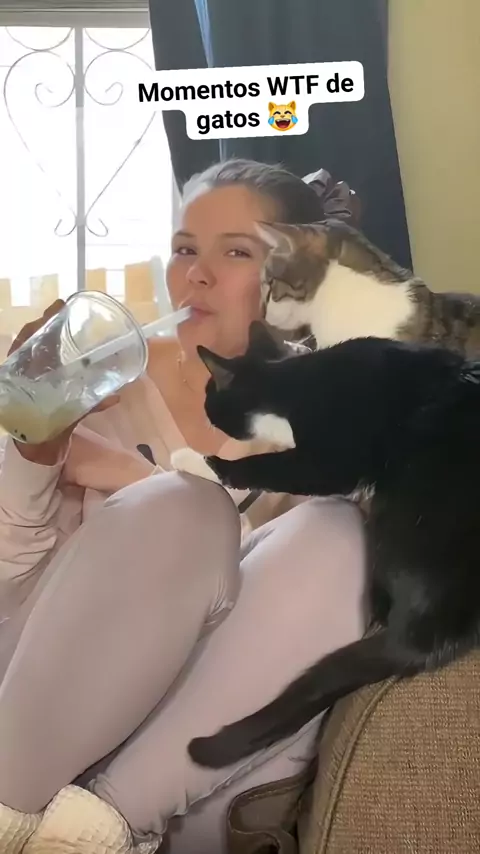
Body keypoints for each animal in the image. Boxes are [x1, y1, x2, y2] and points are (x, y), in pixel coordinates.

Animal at [171, 321, 480, 770]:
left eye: (211, 393)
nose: (204, 411)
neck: (294, 381)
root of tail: (434, 632)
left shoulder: (329, 458)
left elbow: (261, 468)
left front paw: (195, 461)